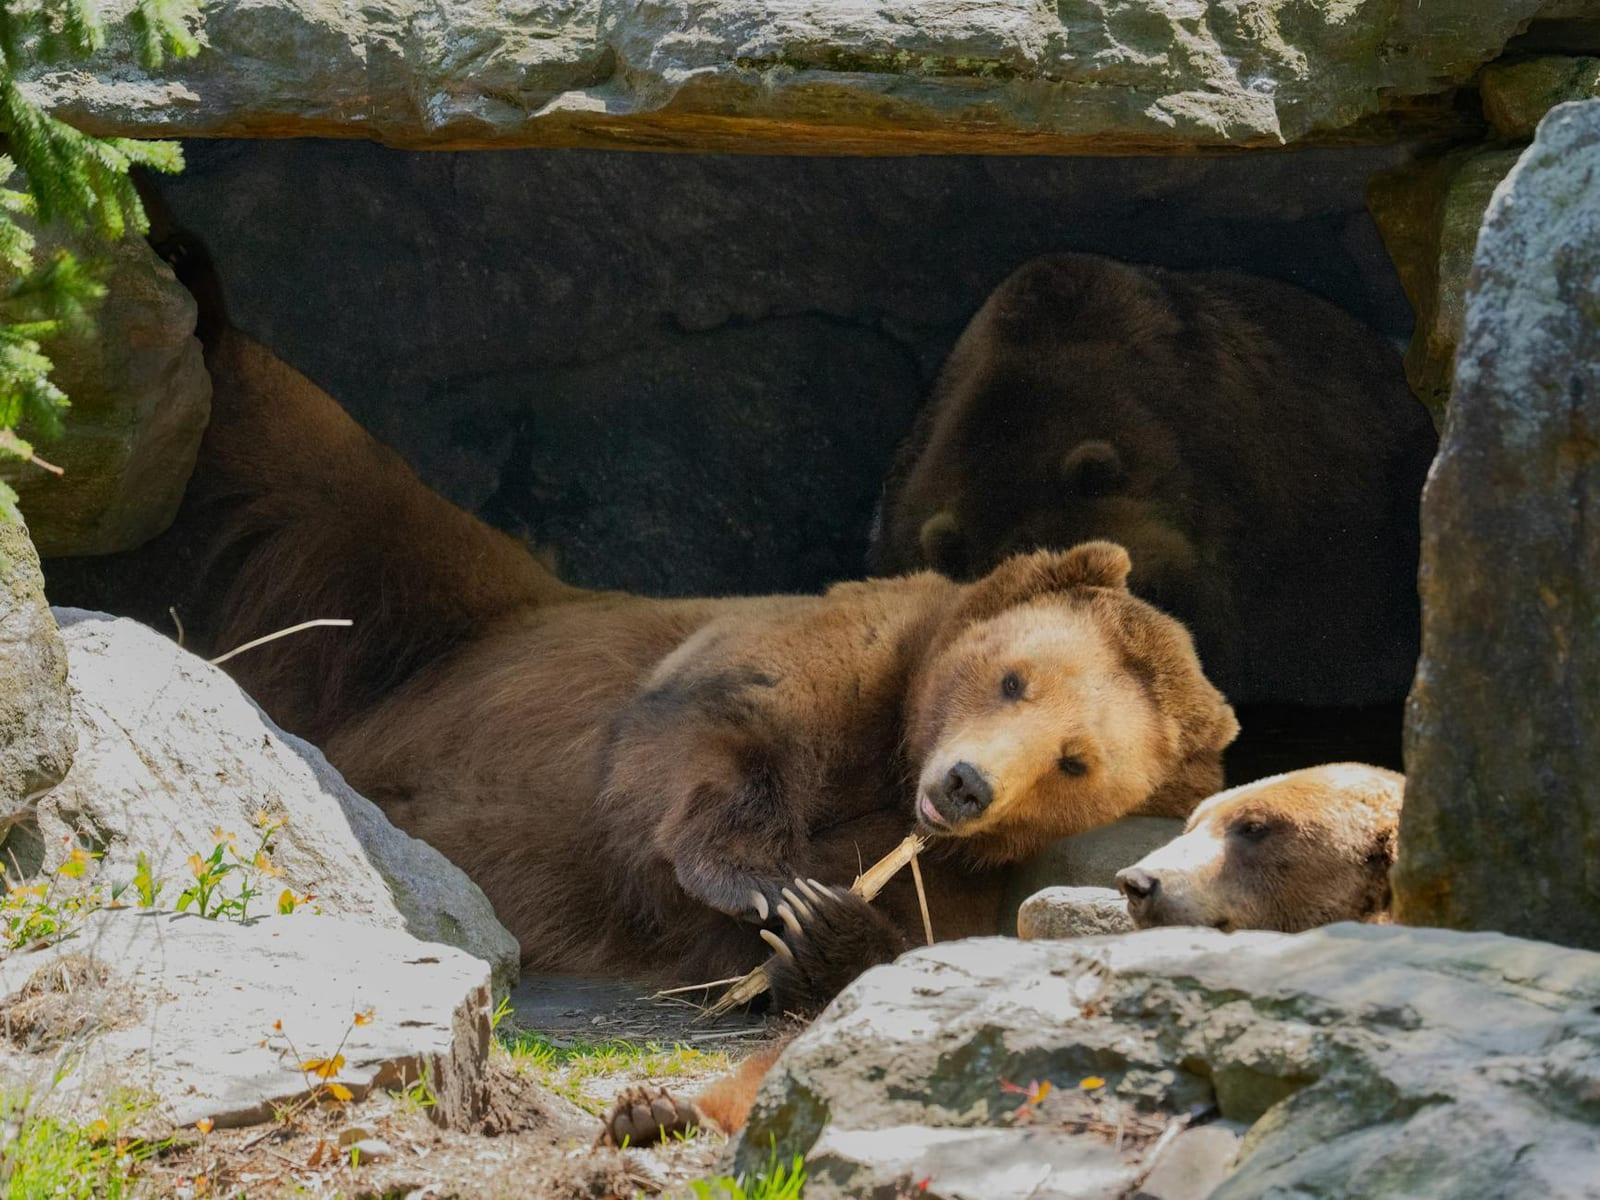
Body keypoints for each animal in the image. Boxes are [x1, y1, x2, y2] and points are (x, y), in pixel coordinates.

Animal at [140, 293, 1240, 1014]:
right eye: (1015, 678)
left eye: (1075, 761)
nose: (965, 785)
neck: (888, 768)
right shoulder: (822, 661)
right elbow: (705, 735)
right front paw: (761, 877)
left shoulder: (955, 875)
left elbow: (856, 938)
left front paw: (814, 925)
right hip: (422, 609)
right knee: (310, 469)